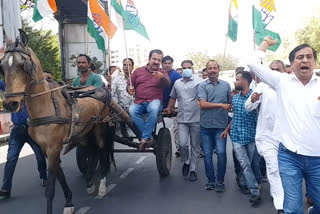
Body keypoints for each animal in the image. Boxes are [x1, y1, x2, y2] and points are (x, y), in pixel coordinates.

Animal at [0, 29, 136, 214]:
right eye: (2, 67)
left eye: (24, 65)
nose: (10, 104)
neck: (45, 106)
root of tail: (101, 90)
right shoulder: (46, 149)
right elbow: (60, 175)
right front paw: (69, 202)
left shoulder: (54, 147)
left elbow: (50, 188)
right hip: (86, 132)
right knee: (92, 151)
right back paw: (89, 181)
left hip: (100, 129)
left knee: (102, 152)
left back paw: (101, 185)